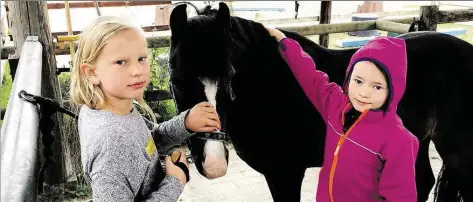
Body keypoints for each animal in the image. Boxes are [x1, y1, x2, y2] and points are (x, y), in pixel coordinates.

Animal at [169, 1, 472, 202]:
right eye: (177, 81)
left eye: (230, 77)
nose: (214, 163)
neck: (271, 86)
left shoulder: (286, 173)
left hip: (456, 151)